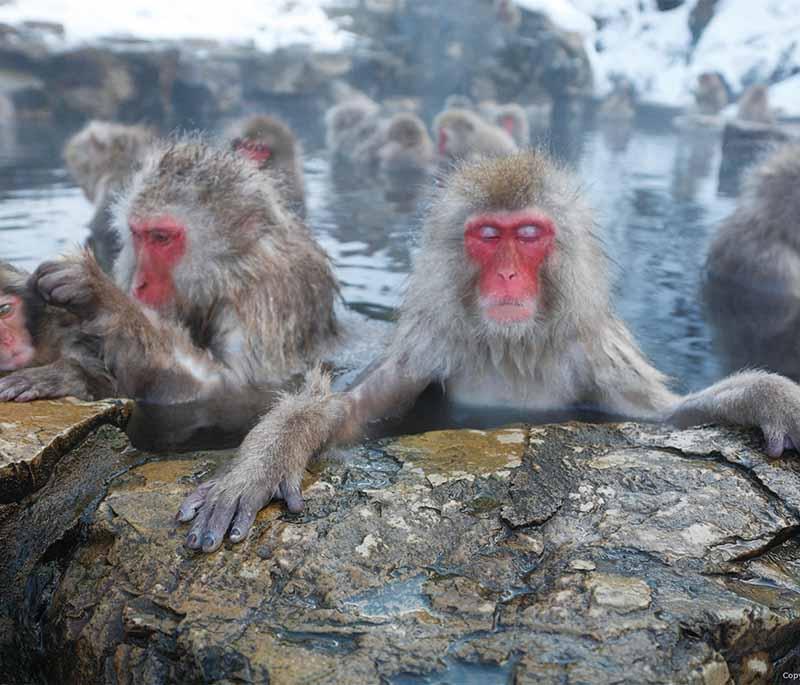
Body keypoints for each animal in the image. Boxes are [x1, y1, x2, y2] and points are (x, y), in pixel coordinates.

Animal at [21, 140, 338, 406]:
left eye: (161, 238)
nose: (139, 284)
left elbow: (229, 388)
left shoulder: (265, 300)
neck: (230, 271)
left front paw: (101, 297)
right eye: (138, 235)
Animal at [178, 151, 800, 552]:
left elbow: (662, 417)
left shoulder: (595, 353)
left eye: (527, 235)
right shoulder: (431, 345)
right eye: (487, 236)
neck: (513, 347)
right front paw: (263, 461)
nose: (506, 275)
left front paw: (767, 397)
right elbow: (347, 413)